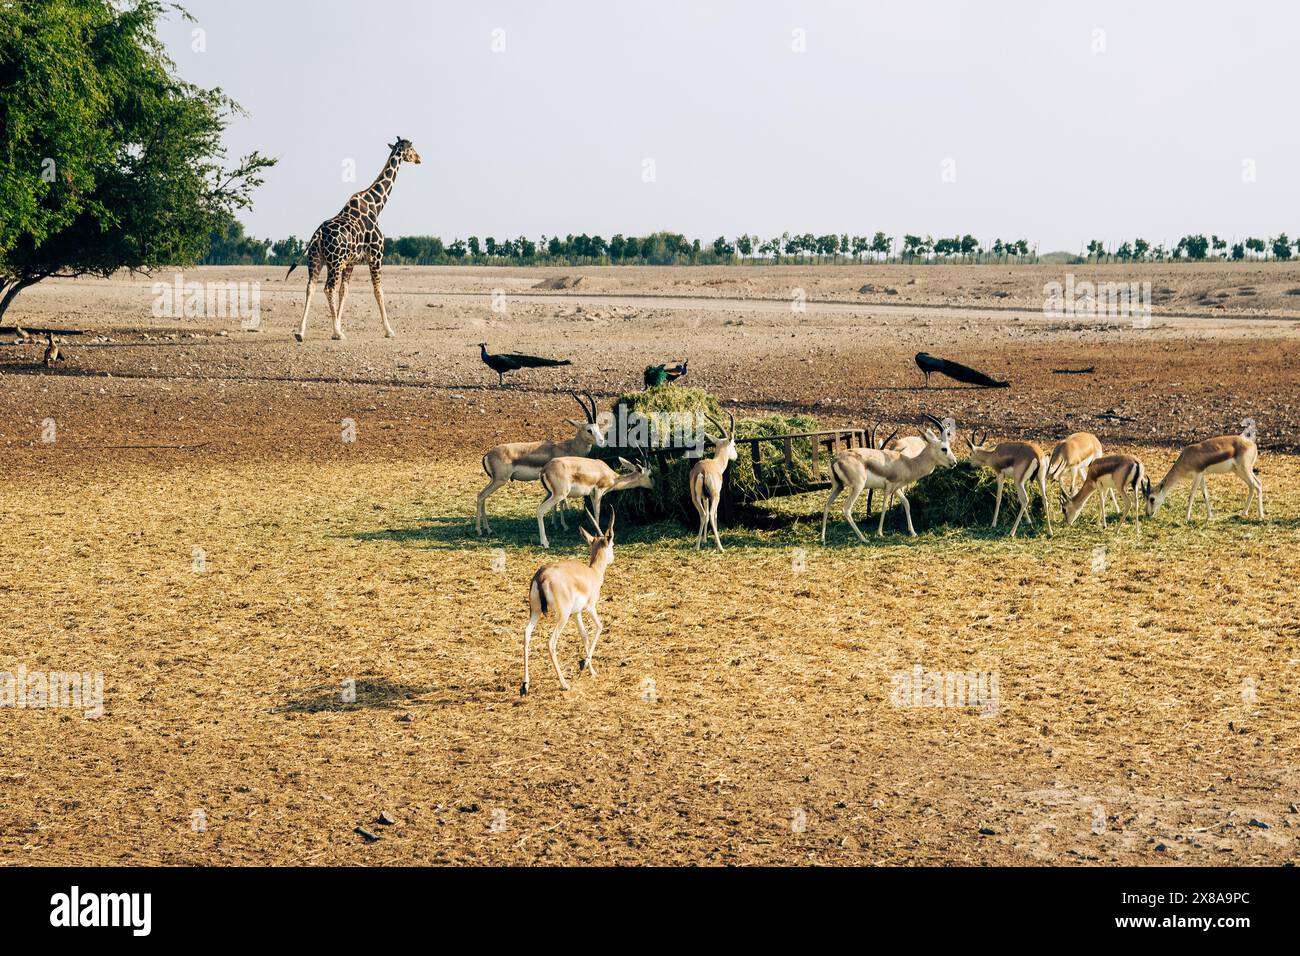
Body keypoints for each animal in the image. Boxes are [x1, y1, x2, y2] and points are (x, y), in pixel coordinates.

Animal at [289, 138, 421, 340]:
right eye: (411, 148)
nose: (419, 158)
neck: (377, 206)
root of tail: (318, 234)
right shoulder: (376, 256)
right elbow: (378, 291)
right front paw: (388, 330)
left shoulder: (350, 262)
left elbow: (345, 291)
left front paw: (339, 326)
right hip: (334, 262)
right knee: (328, 288)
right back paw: (337, 334)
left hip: (315, 260)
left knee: (310, 286)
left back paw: (300, 332)